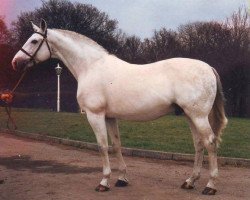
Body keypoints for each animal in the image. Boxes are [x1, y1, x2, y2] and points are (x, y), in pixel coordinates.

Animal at [11, 19, 228, 195]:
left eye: (34, 41)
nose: (15, 62)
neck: (91, 67)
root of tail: (208, 67)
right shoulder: (109, 117)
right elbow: (116, 145)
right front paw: (122, 178)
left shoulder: (95, 115)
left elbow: (102, 146)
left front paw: (104, 182)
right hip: (190, 115)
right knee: (199, 144)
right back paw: (190, 181)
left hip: (198, 116)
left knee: (210, 142)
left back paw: (210, 186)